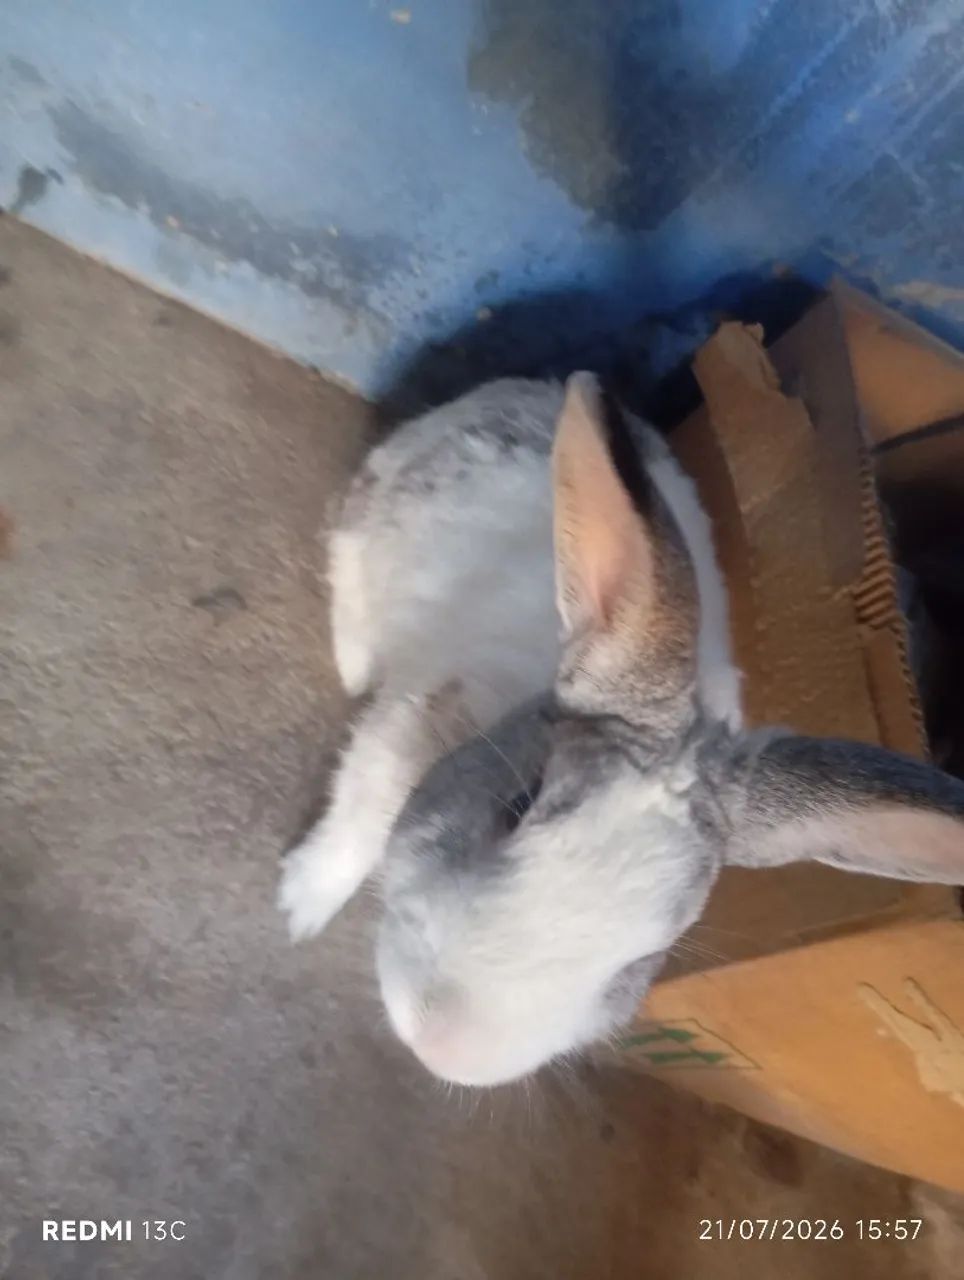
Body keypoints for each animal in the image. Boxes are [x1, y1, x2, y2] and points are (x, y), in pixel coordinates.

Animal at [281, 372, 964, 1088]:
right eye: (517, 804)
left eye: (652, 951)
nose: (441, 1045)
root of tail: (526, 386)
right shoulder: (409, 721)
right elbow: (357, 825)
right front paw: (300, 906)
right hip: (380, 503)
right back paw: (354, 661)